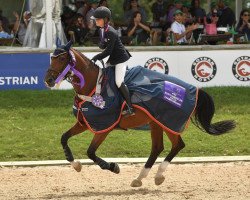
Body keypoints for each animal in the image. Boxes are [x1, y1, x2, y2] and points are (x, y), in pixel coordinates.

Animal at [44, 41, 235, 188]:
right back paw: (140, 178)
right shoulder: (84, 123)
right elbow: (64, 138)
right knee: (158, 148)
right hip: (157, 123)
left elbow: (90, 152)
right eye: (51, 58)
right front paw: (75, 164)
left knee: (177, 145)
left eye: (62, 58)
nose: (48, 80)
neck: (92, 87)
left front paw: (113, 167)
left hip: (170, 122)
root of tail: (193, 89)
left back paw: (158, 175)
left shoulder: (104, 127)